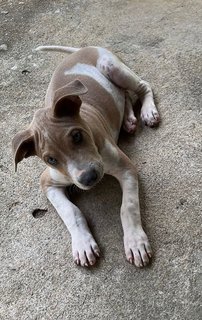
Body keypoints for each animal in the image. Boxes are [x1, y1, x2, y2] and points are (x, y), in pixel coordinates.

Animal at [12, 45, 159, 268]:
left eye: (77, 136)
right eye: (50, 160)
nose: (88, 178)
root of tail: (81, 49)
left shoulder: (126, 168)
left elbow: (128, 206)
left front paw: (135, 241)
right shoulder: (47, 181)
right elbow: (71, 212)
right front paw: (82, 244)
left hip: (112, 67)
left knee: (143, 86)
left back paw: (148, 111)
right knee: (123, 95)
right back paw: (128, 120)